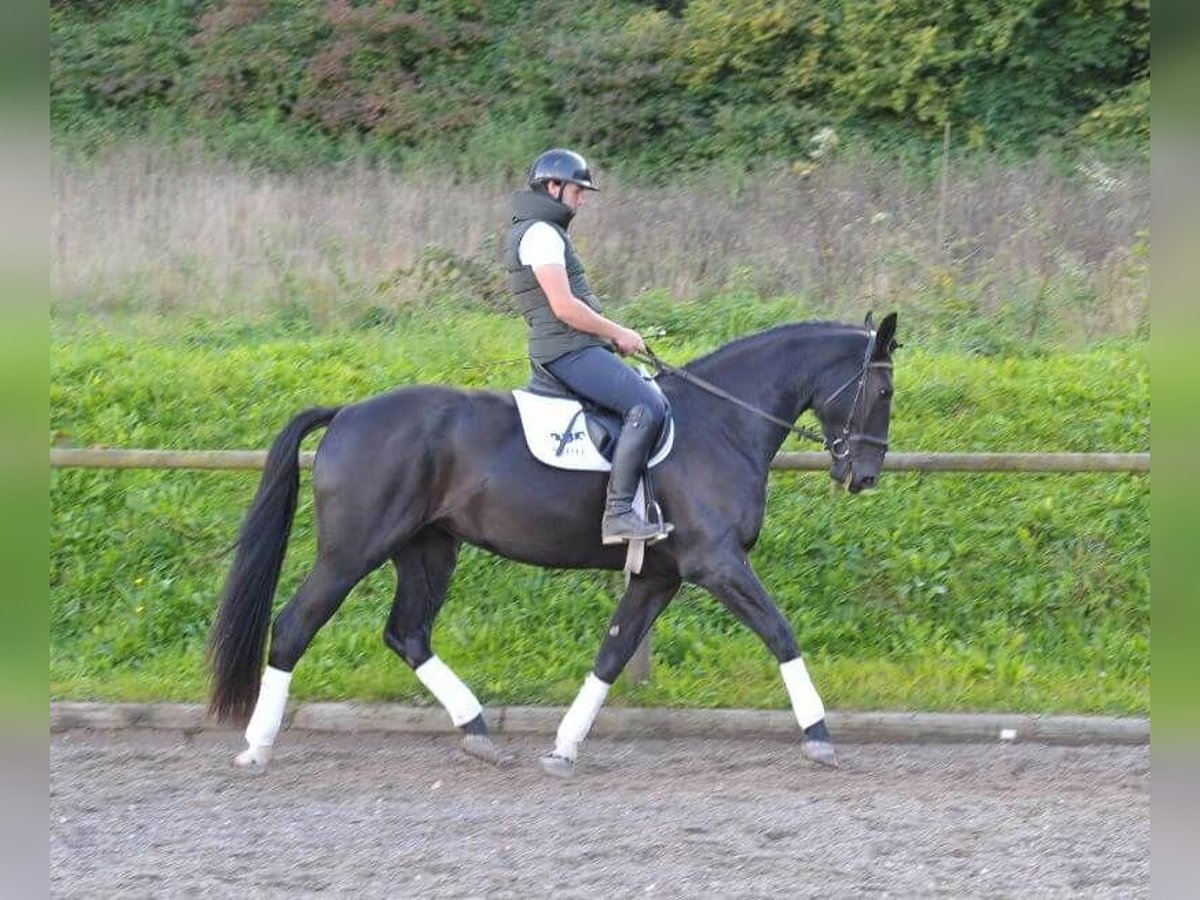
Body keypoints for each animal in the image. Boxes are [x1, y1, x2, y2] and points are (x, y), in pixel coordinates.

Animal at [211, 312, 897, 777]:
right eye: (885, 391)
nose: (864, 476)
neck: (722, 423)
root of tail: (349, 412)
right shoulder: (717, 563)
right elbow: (781, 633)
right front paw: (819, 736)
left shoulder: (660, 576)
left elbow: (612, 654)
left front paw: (564, 746)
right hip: (352, 550)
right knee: (294, 625)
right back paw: (256, 747)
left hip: (428, 549)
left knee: (407, 634)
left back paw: (478, 730)